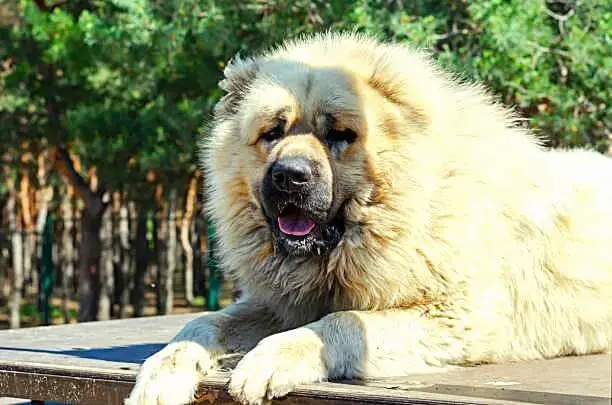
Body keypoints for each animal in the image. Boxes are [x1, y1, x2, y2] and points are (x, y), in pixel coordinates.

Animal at [125, 30, 612, 404]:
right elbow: (203, 322)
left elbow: (341, 323)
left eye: (340, 134)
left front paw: (265, 361)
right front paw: (159, 377)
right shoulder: (280, 303)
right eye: (273, 133)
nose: (289, 176)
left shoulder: (457, 318)